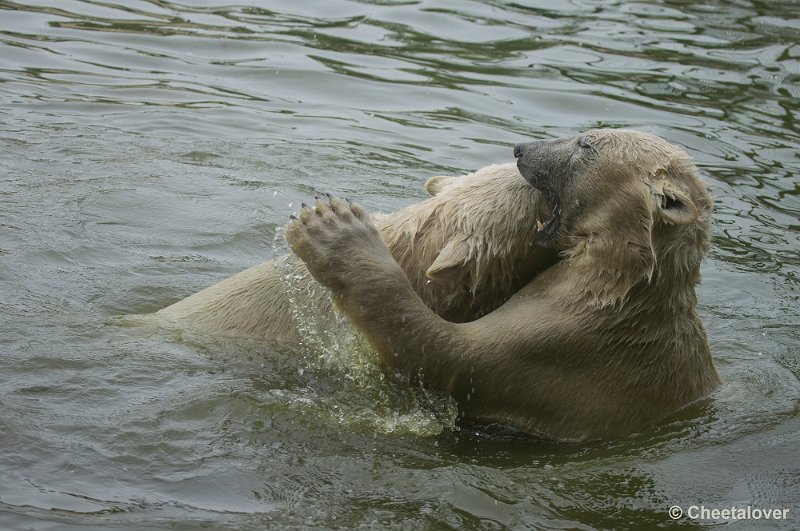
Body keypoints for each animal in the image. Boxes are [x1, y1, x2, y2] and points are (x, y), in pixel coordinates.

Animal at [286, 129, 720, 440]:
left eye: (585, 143)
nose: (521, 149)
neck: (619, 286)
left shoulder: (565, 342)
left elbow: (444, 352)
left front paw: (333, 227)